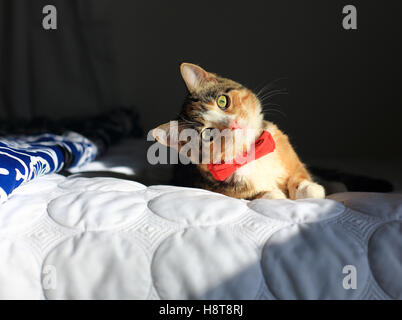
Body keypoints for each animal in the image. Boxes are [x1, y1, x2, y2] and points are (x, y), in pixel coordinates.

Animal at [152, 63, 326, 200]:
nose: (233, 124)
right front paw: (272, 194)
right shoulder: (214, 186)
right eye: (208, 134)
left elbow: (298, 172)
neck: (253, 154)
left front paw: (308, 188)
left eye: (222, 101)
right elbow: (250, 195)